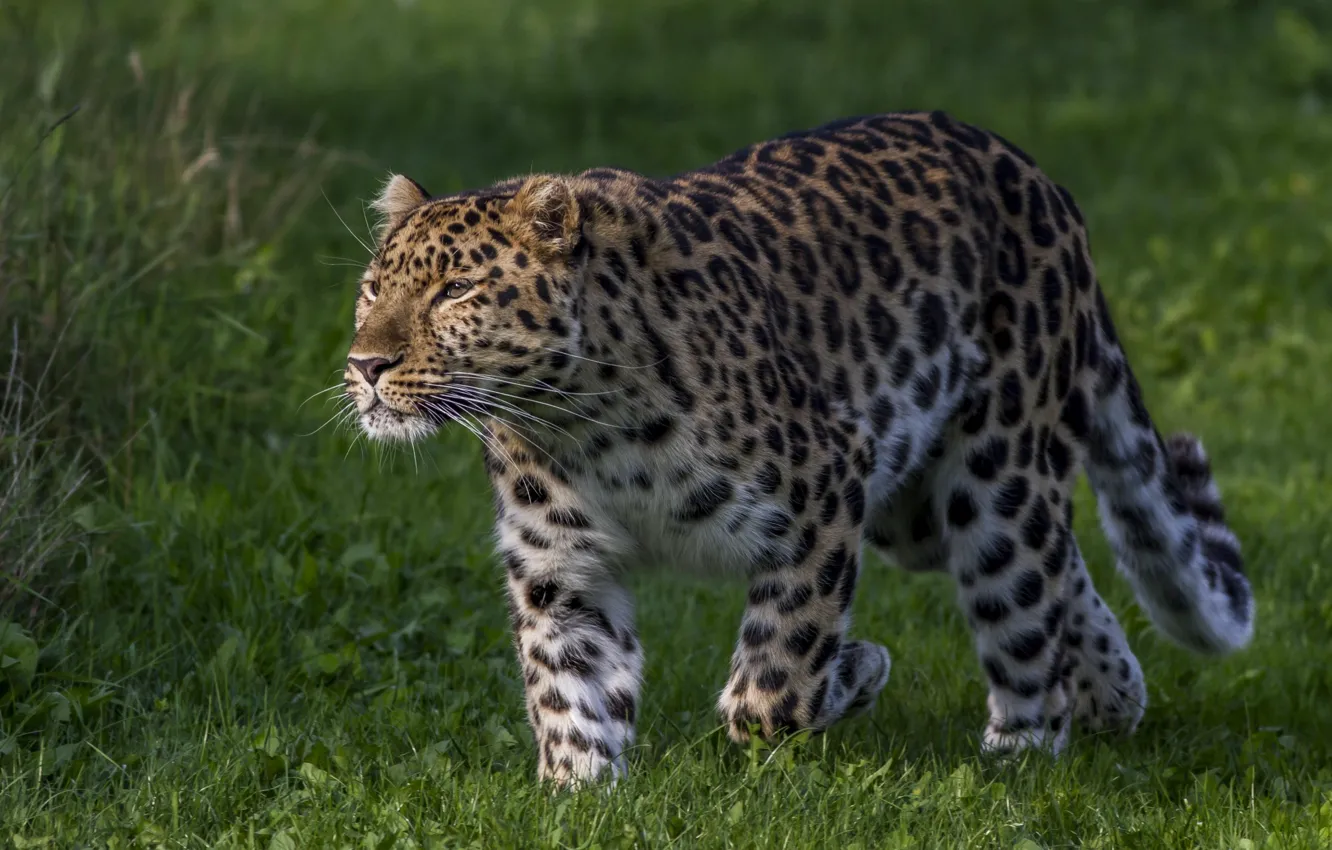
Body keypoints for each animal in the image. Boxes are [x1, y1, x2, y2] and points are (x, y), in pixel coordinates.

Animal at [342, 110, 1254, 787]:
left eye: (457, 290)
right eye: (373, 288)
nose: (365, 365)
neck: (574, 420)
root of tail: (1042, 179)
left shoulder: (824, 484)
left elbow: (775, 684)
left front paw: (858, 670)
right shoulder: (561, 565)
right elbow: (570, 688)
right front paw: (581, 794)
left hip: (995, 471)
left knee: (1022, 592)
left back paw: (1021, 751)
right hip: (916, 509)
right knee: (1063, 565)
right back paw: (1115, 692)